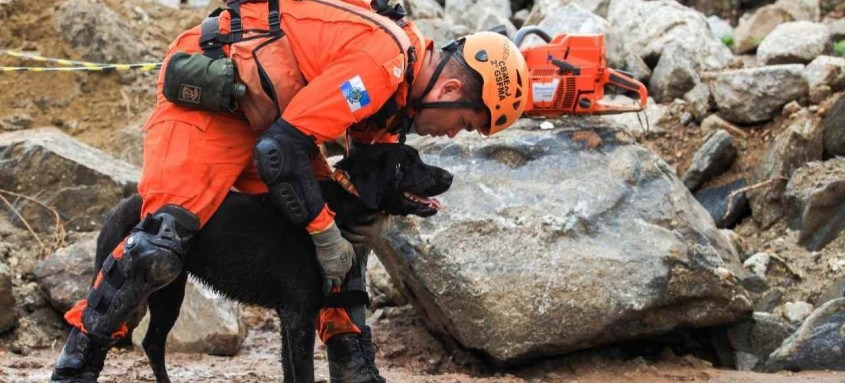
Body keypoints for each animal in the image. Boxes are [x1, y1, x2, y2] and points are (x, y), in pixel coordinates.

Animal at [93, 145, 452, 383]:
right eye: (404, 165)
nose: (449, 175)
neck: (343, 203)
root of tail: (119, 207)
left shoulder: (288, 316)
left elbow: (290, 370)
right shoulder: (299, 314)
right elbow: (303, 373)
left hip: (169, 294)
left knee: (152, 342)